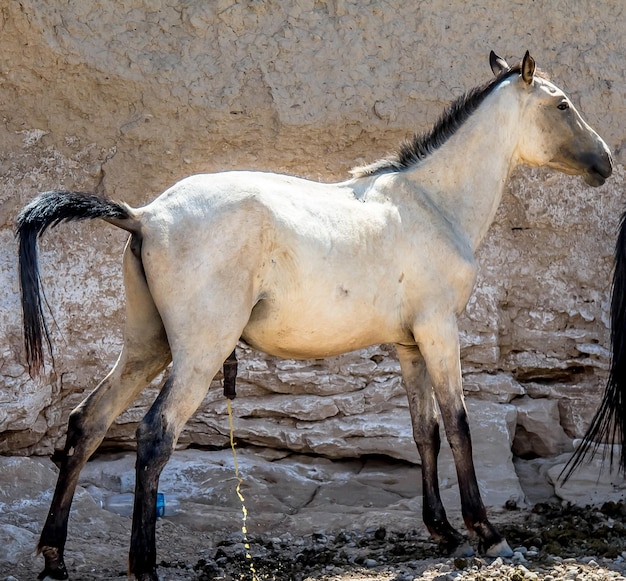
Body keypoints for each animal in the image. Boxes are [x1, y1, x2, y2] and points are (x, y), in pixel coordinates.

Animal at [15, 51, 608, 580]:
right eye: (561, 105)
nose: (604, 161)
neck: (431, 203)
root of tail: (145, 215)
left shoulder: (410, 344)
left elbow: (426, 432)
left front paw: (444, 533)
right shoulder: (440, 331)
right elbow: (459, 425)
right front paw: (486, 534)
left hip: (148, 346)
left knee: (88, 423)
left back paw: (54, 559)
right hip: (200, 353)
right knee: (154, 435)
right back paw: (142, 567)